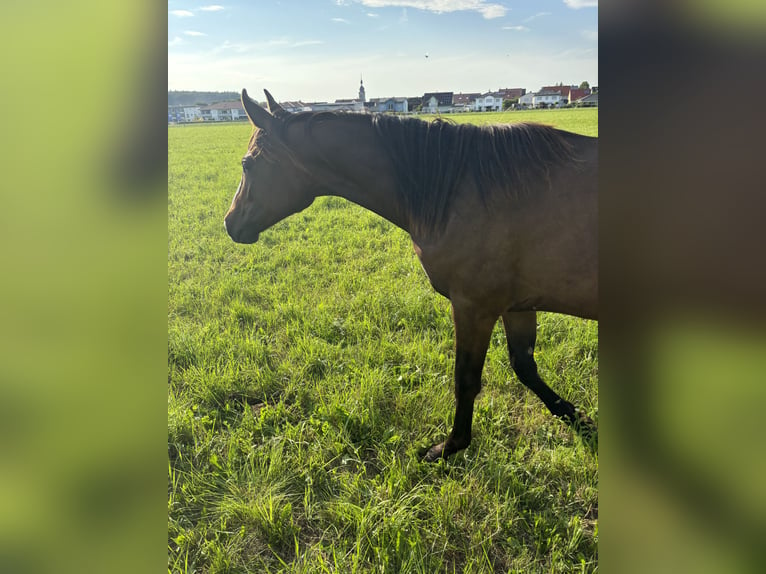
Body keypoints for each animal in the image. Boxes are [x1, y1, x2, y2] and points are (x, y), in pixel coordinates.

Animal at [225, 88, 596, 462]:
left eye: (246, 164)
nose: (230, 223)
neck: (461, 189)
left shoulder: (474, 307)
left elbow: (466, 380)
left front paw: (449, 446)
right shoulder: (516, 305)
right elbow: (525, 366)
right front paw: (577, 417)